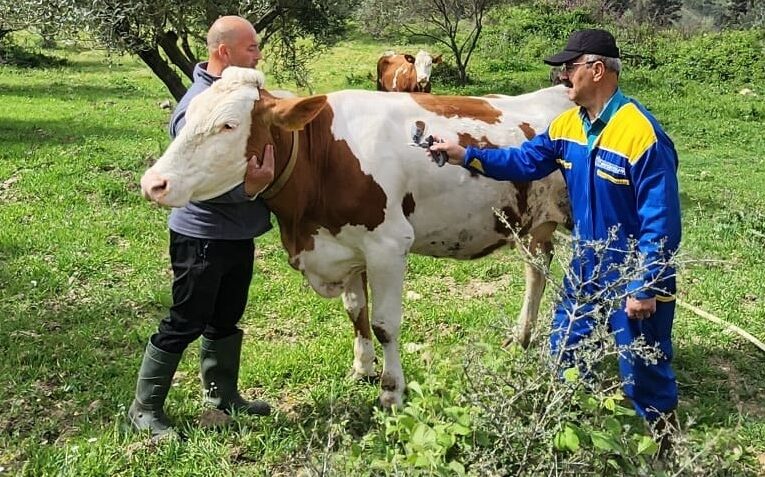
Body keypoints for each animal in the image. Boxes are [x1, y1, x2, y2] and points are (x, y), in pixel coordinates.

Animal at [140, 67, 572, 408]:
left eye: (229, 125)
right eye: (188, 117)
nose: (154, 183)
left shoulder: (388, 246)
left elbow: (384, 324)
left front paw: (391, 391)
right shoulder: (344, 247)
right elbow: (355, 311)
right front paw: (362, 368)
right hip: (535, 223)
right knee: (537, 269)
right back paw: (521, 336)